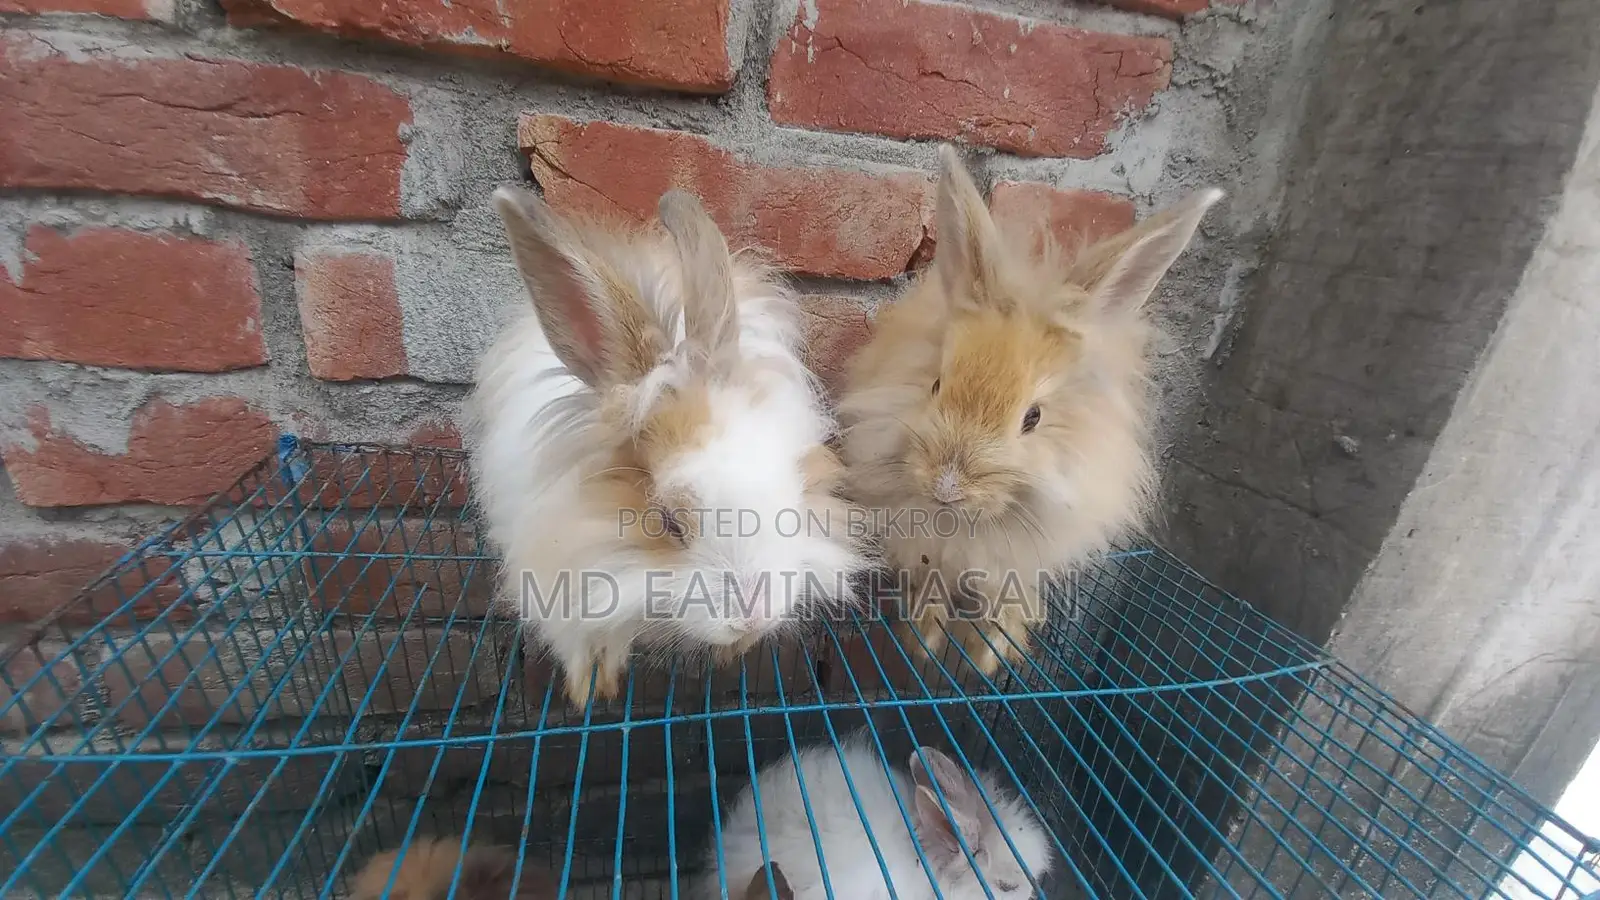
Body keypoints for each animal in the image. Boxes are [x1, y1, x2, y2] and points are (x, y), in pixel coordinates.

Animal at [837, 145, 1222, 677]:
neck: (969, 525)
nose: (947, 487)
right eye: (936, 385)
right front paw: (924, 643)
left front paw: (988, 657)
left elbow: (1005, 601)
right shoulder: (924, 549)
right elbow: (930, 588)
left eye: (1032, 418)